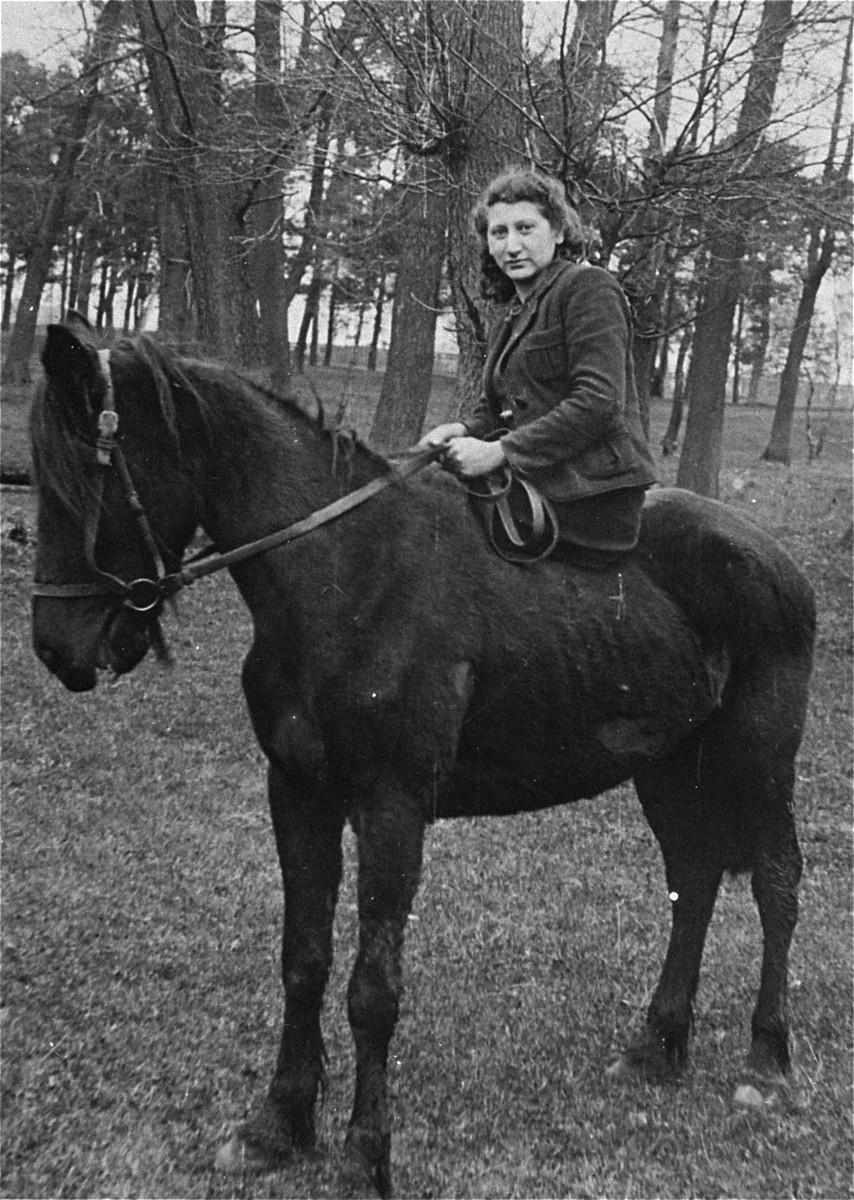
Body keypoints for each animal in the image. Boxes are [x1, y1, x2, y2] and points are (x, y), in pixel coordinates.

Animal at [29, 316, 815, 1200]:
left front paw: (364, 1153)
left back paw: (766, 1059)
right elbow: (303, 960)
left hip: (758, 755)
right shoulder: (297, 793)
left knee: (777, 881)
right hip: (668, 763)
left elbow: (373, 990)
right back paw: (659, 1043)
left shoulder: (392, 806)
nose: (58, 649)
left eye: (87, 474)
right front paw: (278, 1125)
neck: (345, 576)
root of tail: (773, 557)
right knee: (696, 877)